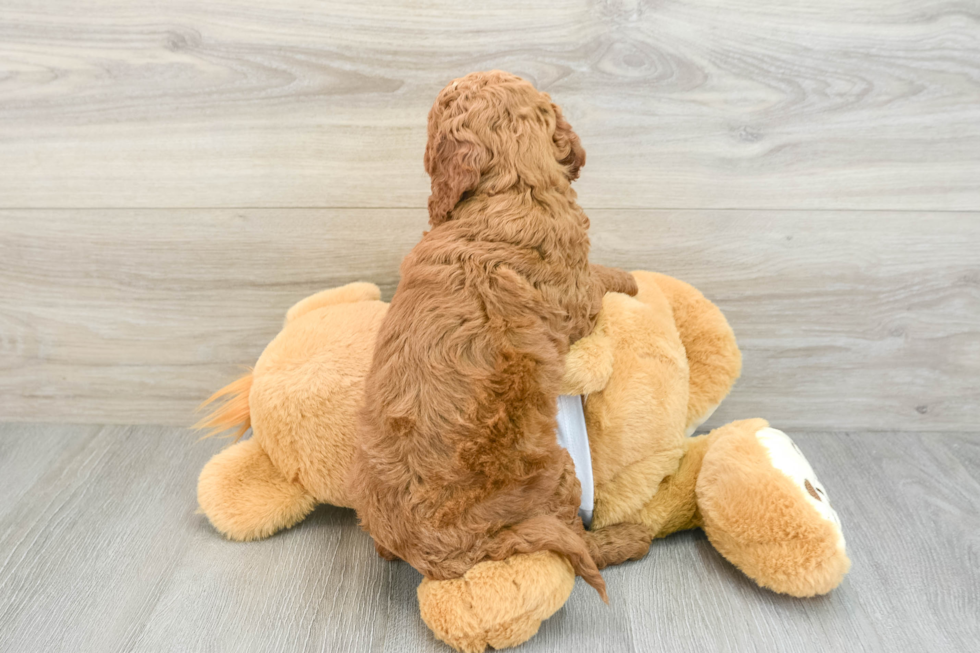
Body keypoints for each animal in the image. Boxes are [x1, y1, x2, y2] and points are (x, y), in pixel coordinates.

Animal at [352, 72, 644, 600]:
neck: (513, 185)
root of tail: (431, 553)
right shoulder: (578, 296)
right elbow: (600, 279)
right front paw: (629, 278)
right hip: (558, 473)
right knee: (577, 543)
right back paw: (629, 537)